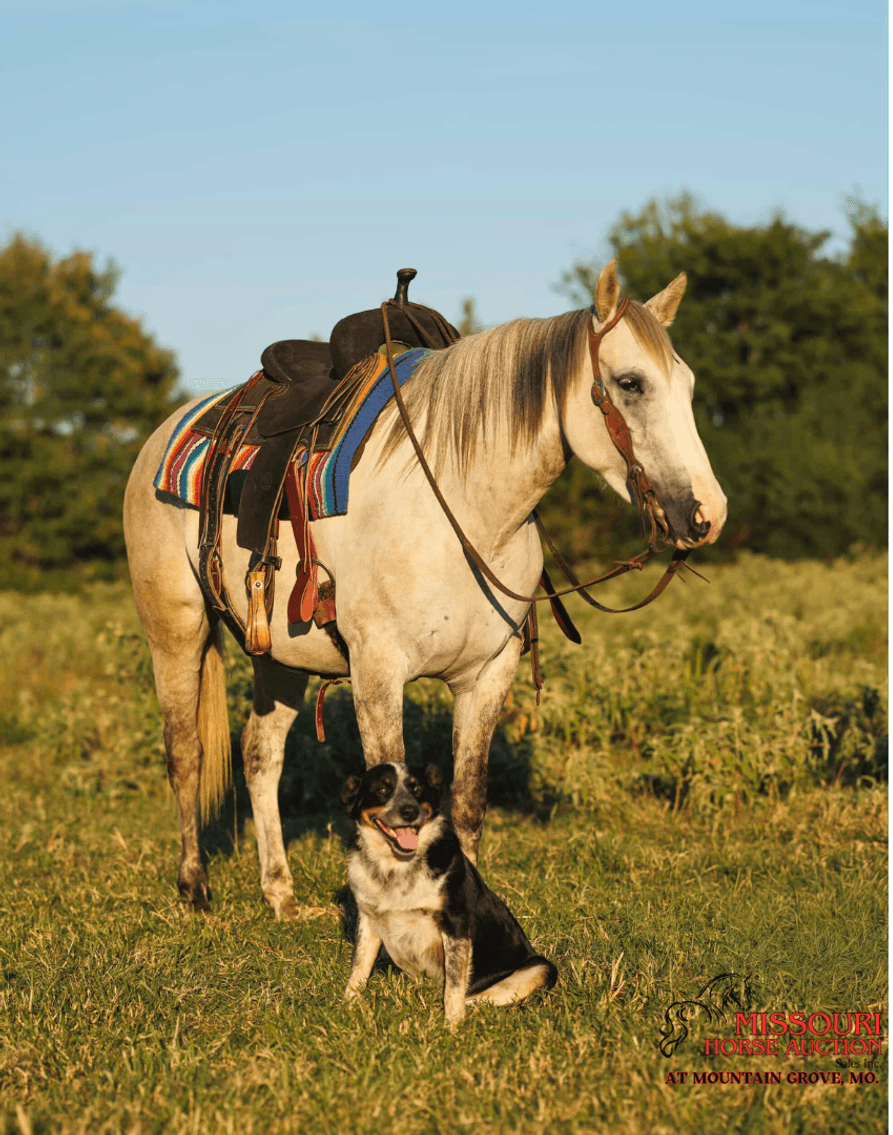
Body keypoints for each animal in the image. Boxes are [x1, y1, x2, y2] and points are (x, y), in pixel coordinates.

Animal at [123, 261, 727, 918]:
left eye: (689, 386)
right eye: (630, 383)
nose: (707, 514)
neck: (462, 508)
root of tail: (168, 431)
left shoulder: (487, 676)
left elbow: (465, 806)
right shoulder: (378, 674)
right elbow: (389, 809)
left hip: (279, 656)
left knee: (260, 756)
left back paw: (280, 894)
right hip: (175, 631)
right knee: (185, 752)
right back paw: (194, 885)